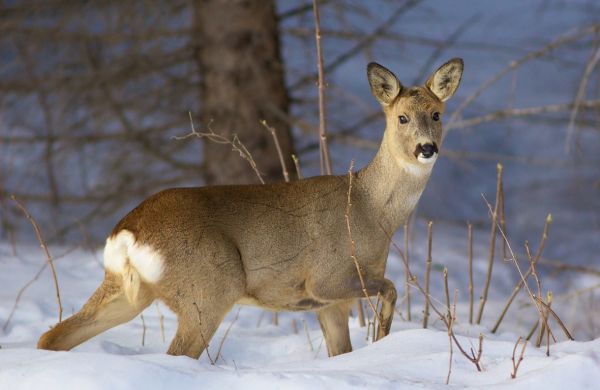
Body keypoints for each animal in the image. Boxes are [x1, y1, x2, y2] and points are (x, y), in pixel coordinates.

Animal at [37, 58, 464, 360]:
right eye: (402, 117)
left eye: (437, 114)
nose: (427, 148)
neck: (368, 209)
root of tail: (127, 231)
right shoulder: (326, 278)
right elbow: (390, 288)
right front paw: (383, 337)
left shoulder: (329, 304)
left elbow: (341, 351)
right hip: (208, 288)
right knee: (177, 352)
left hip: (127, 290)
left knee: (53, 335)